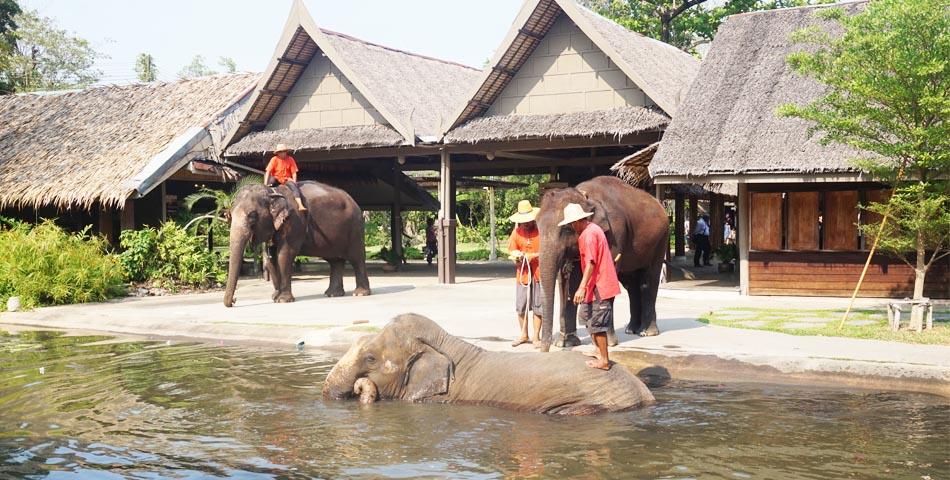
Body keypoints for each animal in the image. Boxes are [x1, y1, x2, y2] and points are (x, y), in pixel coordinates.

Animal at [224, 180, 372, 308]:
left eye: (253, 216)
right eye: (230, 215)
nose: (234, 300)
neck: (273, 192)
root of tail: (355, 202)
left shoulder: (294, 222)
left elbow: (284, 255)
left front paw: (282, 300)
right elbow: (270, 259)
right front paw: (274, 297)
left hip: (355, 227)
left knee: (356, 258)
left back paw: (359, 293)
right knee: (335, 261)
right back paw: (332, 294)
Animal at [540, 176, 672, 352]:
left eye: (567, 229)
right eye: (537, 227)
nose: (543, 349)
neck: (584, 195)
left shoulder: (613, 233)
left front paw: (608, 342)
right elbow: (569, 280)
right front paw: (565, 343)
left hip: (660, 239)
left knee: (649, 278)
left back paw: (647, 332)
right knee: (631, 283)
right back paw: (631, 329)